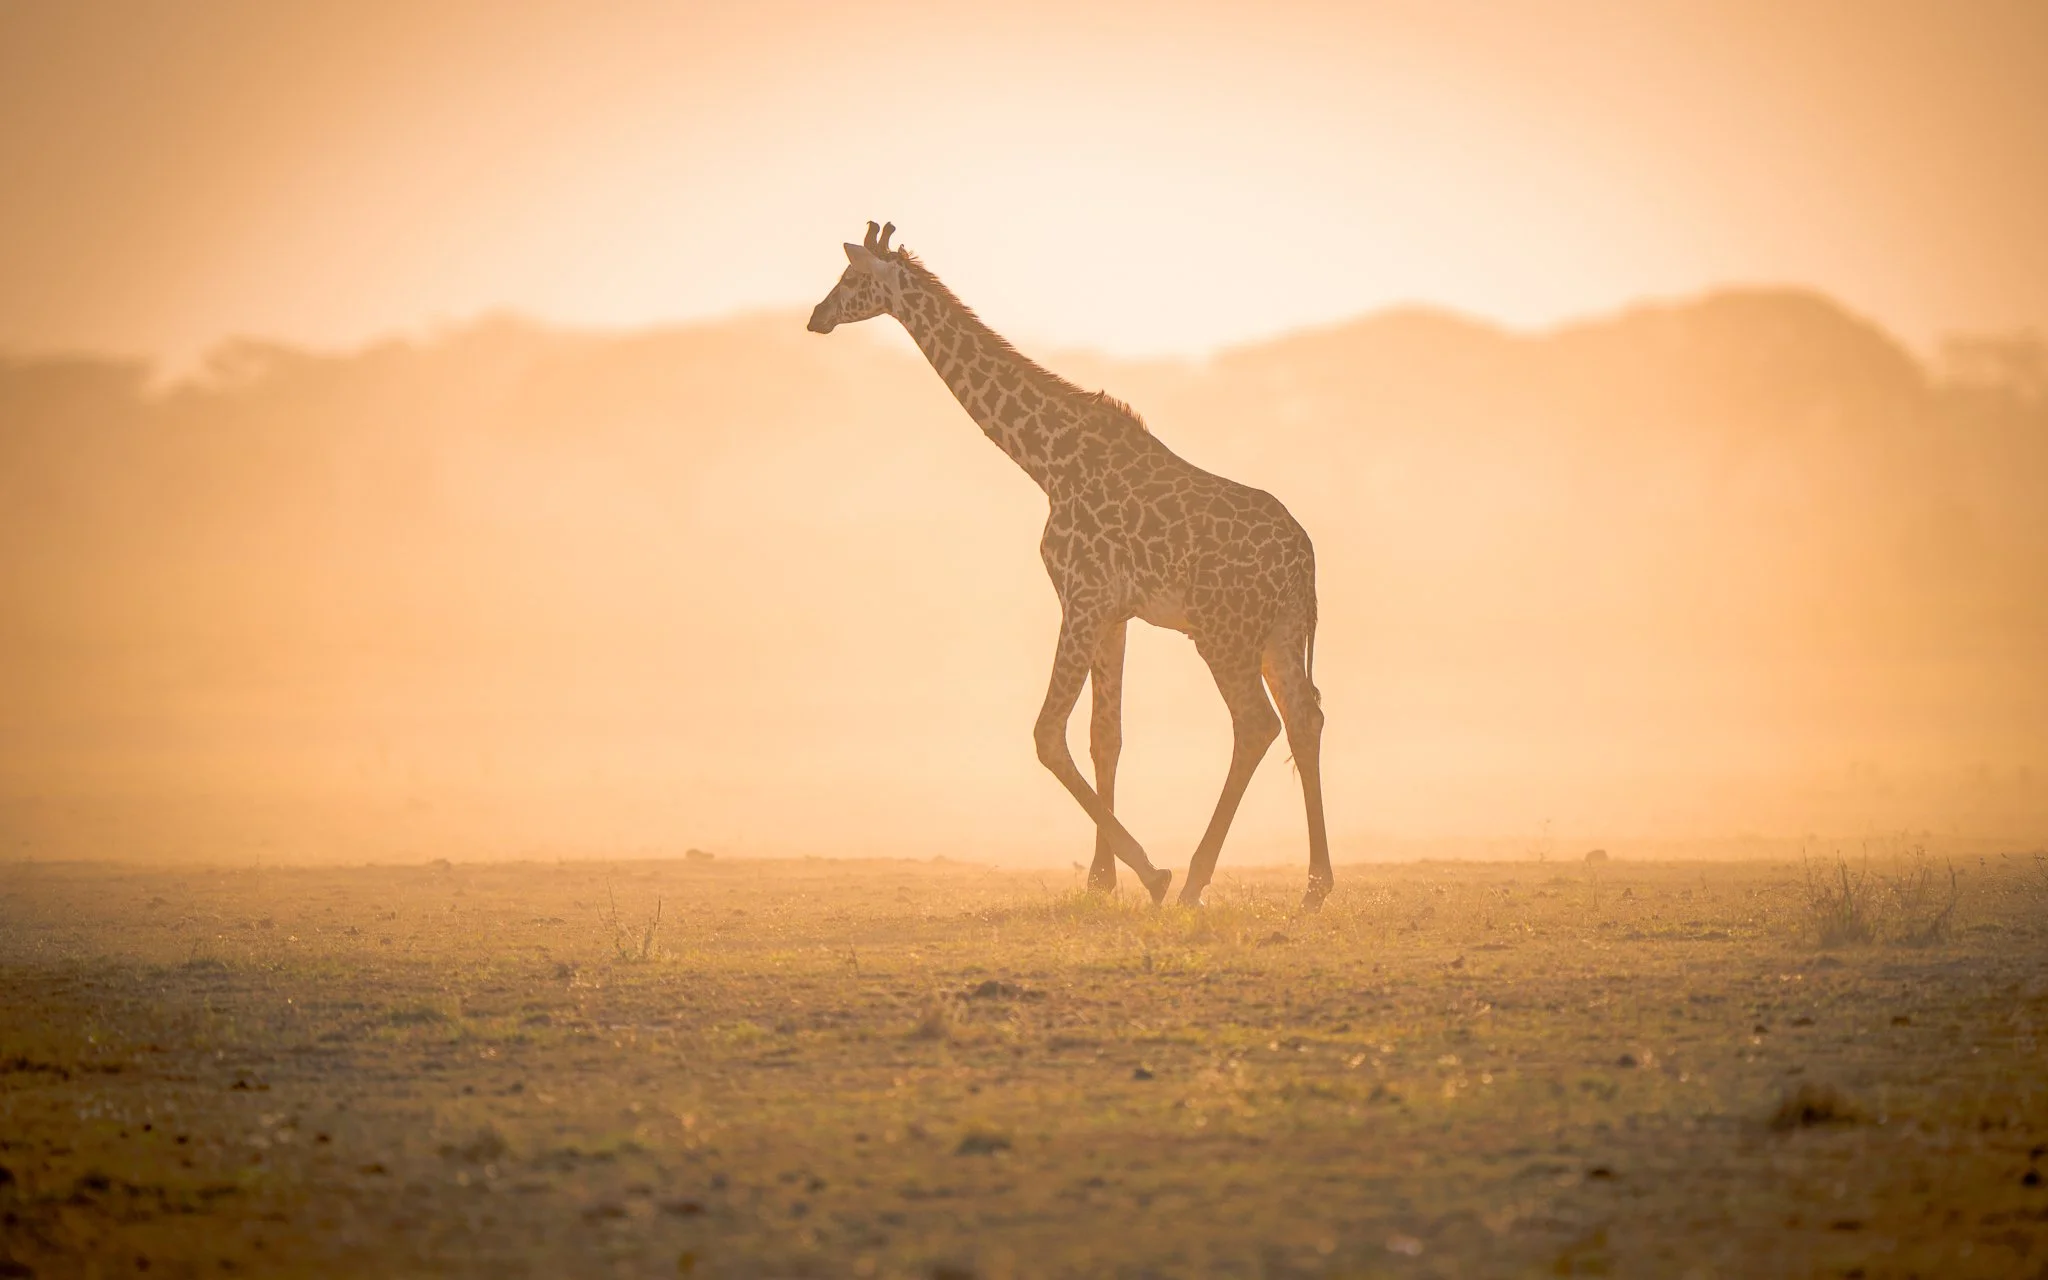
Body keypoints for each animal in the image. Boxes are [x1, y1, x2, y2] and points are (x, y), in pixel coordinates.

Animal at [808, 222, 1331, 910]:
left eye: (849, 278)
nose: (815, 317)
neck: (1046, 459)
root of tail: (1305, 559)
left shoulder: (1081, 596)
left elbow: (1048, 734)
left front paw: (1149, 873)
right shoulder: (1113, 611)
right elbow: (1104, 736)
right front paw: (1102, 879)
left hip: (1222, 631)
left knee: (1256, 724)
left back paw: (1195, 880)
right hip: (1280, 631)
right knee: (1304, 717)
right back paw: (1316, 886)